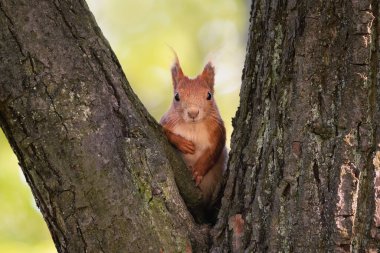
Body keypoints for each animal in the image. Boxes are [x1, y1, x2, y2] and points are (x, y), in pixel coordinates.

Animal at [160, 55, 227, 206]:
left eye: (209, 95)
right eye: (176, 96)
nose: (193, 113)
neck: (193, 127)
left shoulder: (219, 133)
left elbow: (212, 154)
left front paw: (197, 172)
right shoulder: (166, 123)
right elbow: (166, 133)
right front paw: (183, 144)